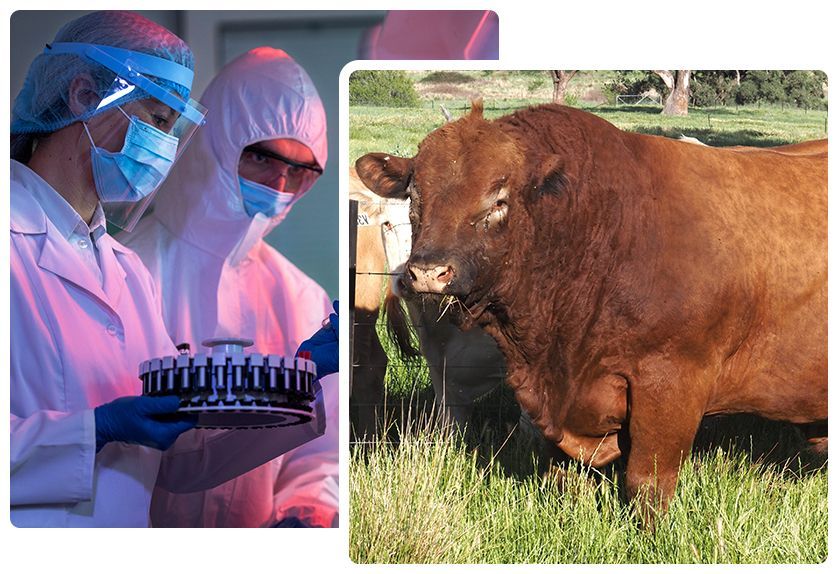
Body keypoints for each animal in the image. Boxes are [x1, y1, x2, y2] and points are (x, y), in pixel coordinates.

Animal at [355, 100, 827, 518]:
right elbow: (563, 476)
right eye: (415, 195)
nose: (427, 272)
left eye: (499, 199)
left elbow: (647, 484)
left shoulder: (672, 383)